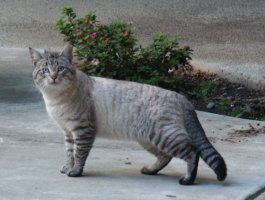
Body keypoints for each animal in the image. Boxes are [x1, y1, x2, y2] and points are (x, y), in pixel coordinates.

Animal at [29, 44, 227, 185]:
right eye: (45, 70)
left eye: (60, 69)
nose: (53, 77)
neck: (55, 100)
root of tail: (181, 97)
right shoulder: (68, 132)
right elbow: (69, 153)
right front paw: (67, 167)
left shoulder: (83, 130)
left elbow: (79, 154)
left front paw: (75, 172)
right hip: (148, 139)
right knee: (166, 156)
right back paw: (150, 170)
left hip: (164, 136)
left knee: (192, 152)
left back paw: (188, 180)